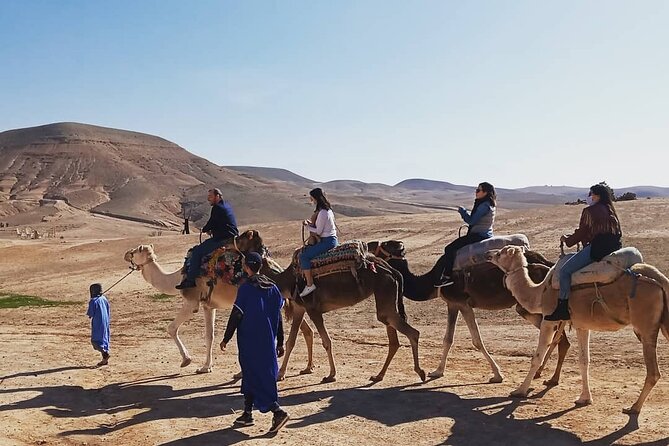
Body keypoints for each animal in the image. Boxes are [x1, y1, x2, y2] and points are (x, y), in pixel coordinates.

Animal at [122, 230, 314, 376]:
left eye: (136, 251)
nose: (126, 254)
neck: (177, 278)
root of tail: (277, 269)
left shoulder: (192, 301)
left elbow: (171, 328)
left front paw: (186, 360)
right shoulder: (208, 306)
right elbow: (210, 335)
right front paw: (205, 367)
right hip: (284, 301)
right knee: (305, 329)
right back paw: (307, 368)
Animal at [253, 233, 426, 384]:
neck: (288, 281)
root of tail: (393, 271)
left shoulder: (313, 310)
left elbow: (326, 341)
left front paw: (331, 375)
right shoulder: (299, 308)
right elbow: (291, 341)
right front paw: (280, 374)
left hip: (384, 292)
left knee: (411, 332)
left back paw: (420, 372)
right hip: (386, 296)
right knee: (394, 338)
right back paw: (379, 376)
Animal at [366, 239, 568, 386]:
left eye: (385, 245)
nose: (369, 246)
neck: (432, 282)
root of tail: (548, 264)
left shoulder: (463, 303)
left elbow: (477, 340)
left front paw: (497, 375)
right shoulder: (453, 304)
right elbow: (448, 339)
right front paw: (437, 371)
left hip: (530, 304)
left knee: (557, 335)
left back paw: (548, 377)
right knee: (561, 338)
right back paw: (550, 377)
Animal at [486, 246, 668, 412]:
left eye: (500, 253)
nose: (488, 254)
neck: (540, 292)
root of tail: (659, 279)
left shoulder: (548, 319)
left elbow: (536, 357)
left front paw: (520, 391)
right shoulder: (582, 325)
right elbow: (584, 360)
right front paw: (584, 399)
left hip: (644, 326)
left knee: (653, 373)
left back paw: (634, 407)